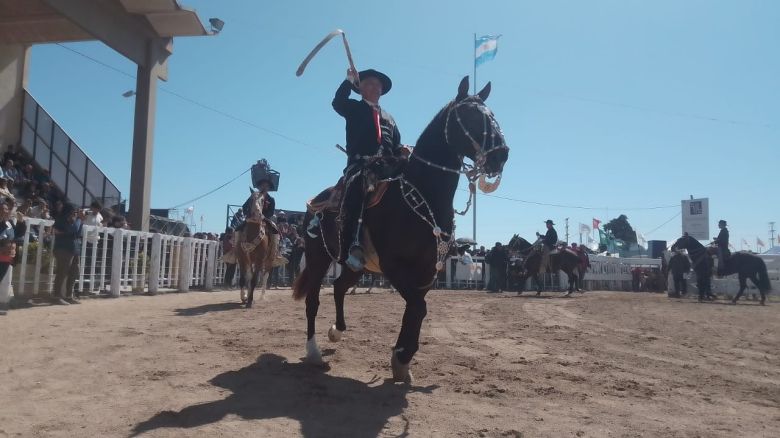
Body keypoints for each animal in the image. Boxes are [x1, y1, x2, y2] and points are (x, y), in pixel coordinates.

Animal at [296, 77, 508, 382]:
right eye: (469, 115)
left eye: (492, 115)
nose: (501, 155)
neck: (423, 193)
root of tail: (315, 202)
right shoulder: (394, 266)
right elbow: (418, 308)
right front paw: (402, 356)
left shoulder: (427, 271)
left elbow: (415, 310)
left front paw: (401, 359)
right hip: (317, 259)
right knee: (313, 300)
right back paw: (313, 352)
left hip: (355, 265)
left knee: (338, 287)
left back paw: (337, 331)